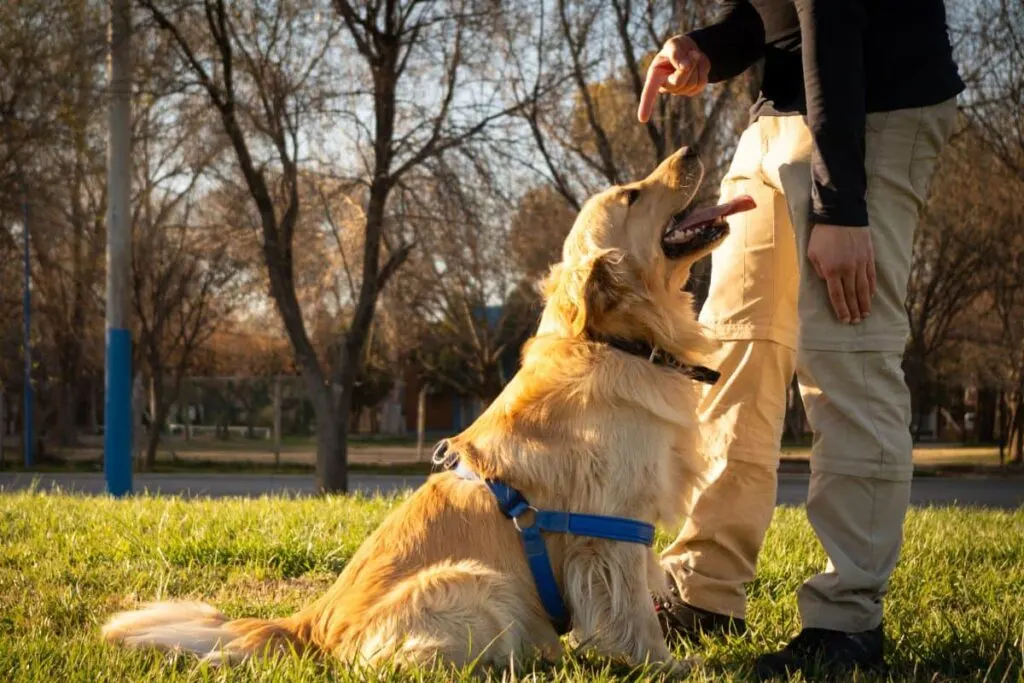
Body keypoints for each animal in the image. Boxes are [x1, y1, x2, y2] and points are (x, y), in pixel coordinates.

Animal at [101, 147, 753, 675]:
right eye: (633, 195)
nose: (691, 149)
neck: (615, 341)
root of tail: (310, 622)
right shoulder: (613, 528)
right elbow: (632, 612)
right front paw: (664, 665)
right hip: (477, 584)